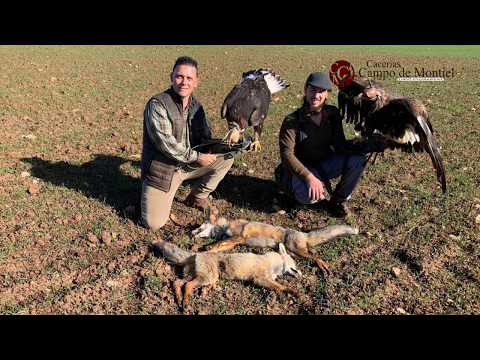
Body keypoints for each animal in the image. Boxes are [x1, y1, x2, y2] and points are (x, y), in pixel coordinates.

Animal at [154, 239, 302, 306]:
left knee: (177, 282)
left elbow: (278, 287)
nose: (301, 274)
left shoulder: (266, 279)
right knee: (187, 285)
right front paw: (293, 292)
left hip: (196, 276)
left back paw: (179, 299)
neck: (272, 263)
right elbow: (281, 287)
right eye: (295, 265)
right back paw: (185, 303)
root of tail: (196, 254)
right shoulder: (259, 279)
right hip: (208, 278)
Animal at [193, 207, 358, 274]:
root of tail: (302, 233)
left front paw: (207, 247)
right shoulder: (234, 242)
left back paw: (324, 268)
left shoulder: (239, 237)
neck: (226, 226)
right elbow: (219, 247)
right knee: (314, 255)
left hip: (298, 251)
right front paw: (207, 250)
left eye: (200, 227)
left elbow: (217, 243)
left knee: (317, 257)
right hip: (296, 253)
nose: (192, 233)